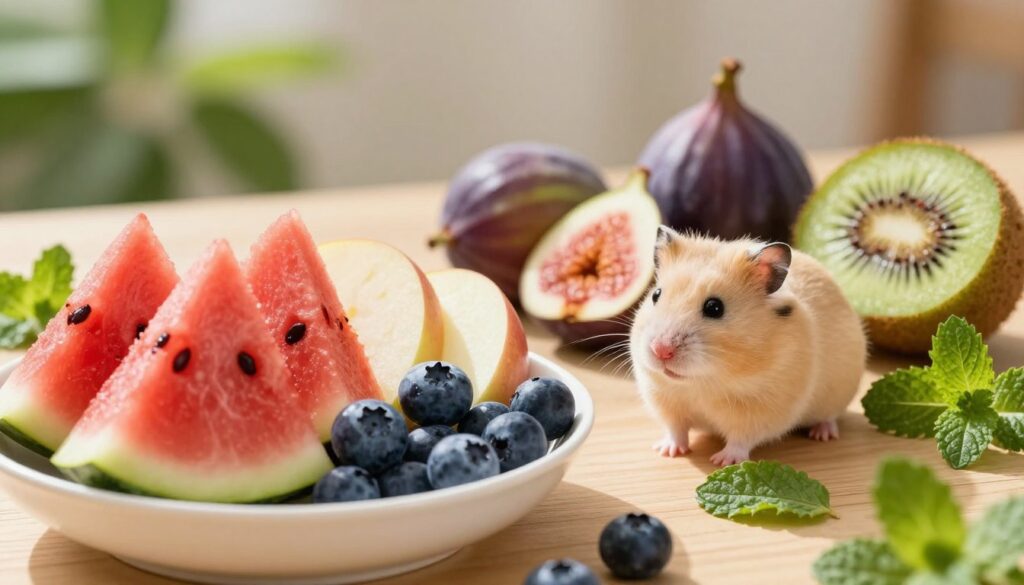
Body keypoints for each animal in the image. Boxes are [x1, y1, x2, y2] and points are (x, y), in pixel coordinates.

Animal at [629, 226, 866, 466]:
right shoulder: (665, 399)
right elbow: (676, 429)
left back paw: (823, 434)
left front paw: (723, 462)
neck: (701, 384)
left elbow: (740, 439)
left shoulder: (761, 410)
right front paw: (666, 451)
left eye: (714, 308)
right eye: (656, 295)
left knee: (829, 417)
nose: (661, 350)